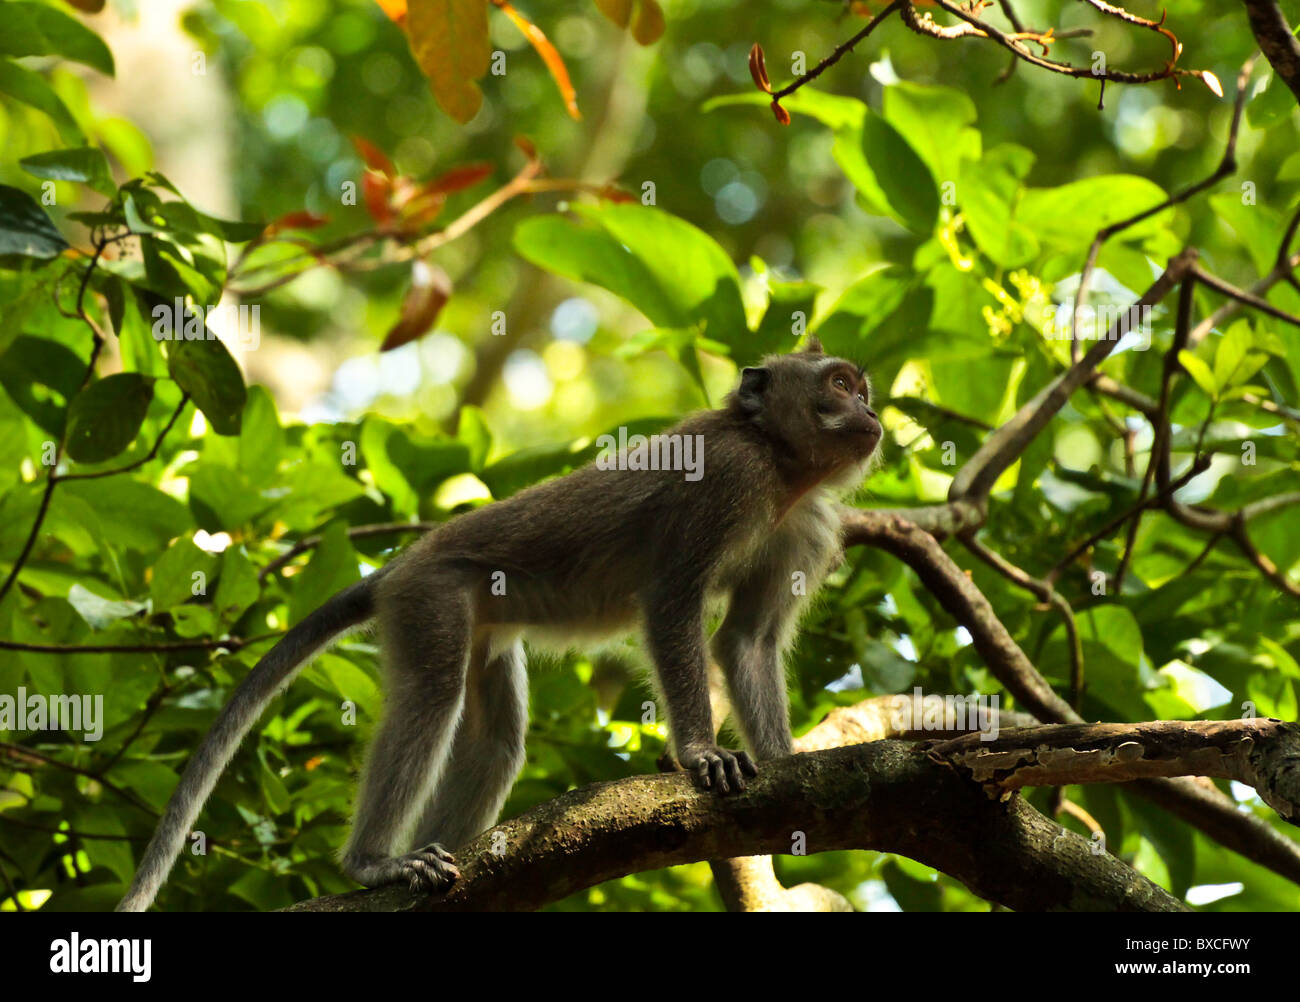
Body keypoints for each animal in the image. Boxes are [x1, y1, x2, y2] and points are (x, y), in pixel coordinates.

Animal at [116, 337, 881, 911]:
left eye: (861, 388)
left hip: (480, 619)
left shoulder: (806, 526)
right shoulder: (726, 478)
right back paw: (373, 863)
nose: (870, 412)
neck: (780, 467)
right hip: (431, 597)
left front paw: (787, 763)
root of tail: (400, 565)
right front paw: (700, 754)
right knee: (431, 698)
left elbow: (746, 641)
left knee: (496, 740)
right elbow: (672, 600)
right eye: (839, 384)